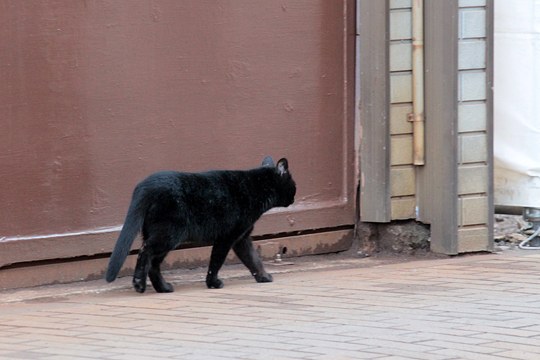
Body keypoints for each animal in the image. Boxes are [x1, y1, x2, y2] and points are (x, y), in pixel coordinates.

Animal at [105, 156, 296, 294]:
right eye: (293, 185)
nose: (295, 196)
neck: (255, 187)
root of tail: (146, 185)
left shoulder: (242, 238)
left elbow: (253, 259)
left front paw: (263, 277)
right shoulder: (227, 237)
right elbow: (216, 262)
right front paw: (213, 283)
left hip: (161, 236)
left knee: (153, 263)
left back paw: (163, 288)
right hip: (168, 235)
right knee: (145, 252)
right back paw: (139, 284)